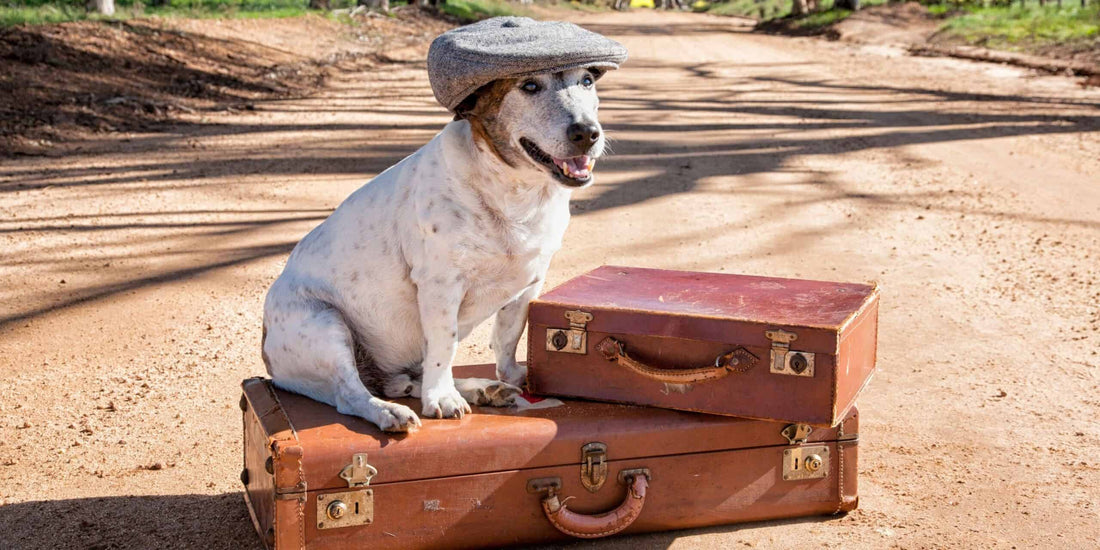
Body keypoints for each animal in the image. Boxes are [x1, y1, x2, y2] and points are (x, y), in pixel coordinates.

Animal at [262, 66, 616, 431]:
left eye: (587, 81)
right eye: (529, 85)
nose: (587, 133)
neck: (516, 193)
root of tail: (272, 365)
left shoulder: (530, 282)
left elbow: (508, 334)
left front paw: (510, 375)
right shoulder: (441, 287)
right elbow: (444, 345)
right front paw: (443, 399)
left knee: (409, 376)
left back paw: (476, 389)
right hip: (326, 325)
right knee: (351, 393)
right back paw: (391, 411)